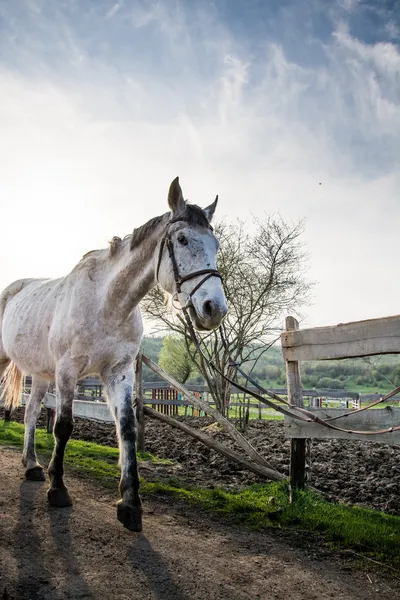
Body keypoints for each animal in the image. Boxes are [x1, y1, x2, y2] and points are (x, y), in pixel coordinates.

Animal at [0, 177, 227, 528]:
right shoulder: (68, 371)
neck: (107, 302)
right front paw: (58, 488)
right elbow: (63, 426)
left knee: (30, 414)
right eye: (182, 238)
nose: (214, 309)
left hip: (39, 375)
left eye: (215, 245)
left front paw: (130, 503)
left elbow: (128, 428)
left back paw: (32, 465)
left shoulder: (118, 372)